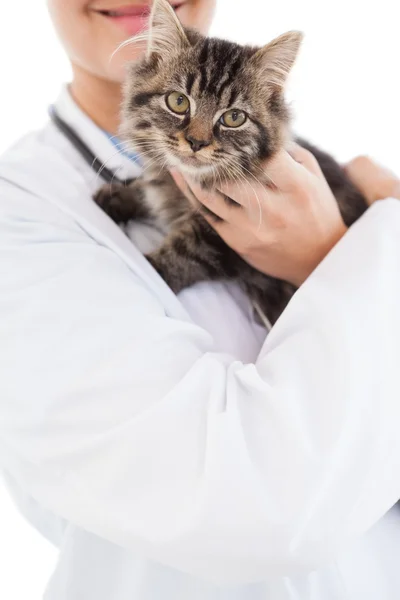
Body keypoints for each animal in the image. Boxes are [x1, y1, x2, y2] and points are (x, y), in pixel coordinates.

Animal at [94, 0, 368, 324]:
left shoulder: (219, 239)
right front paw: (117, 195)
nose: (196, 142)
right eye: (178, 102)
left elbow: (184, 254)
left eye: (234, 118)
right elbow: (148, 187)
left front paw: (152, 270)